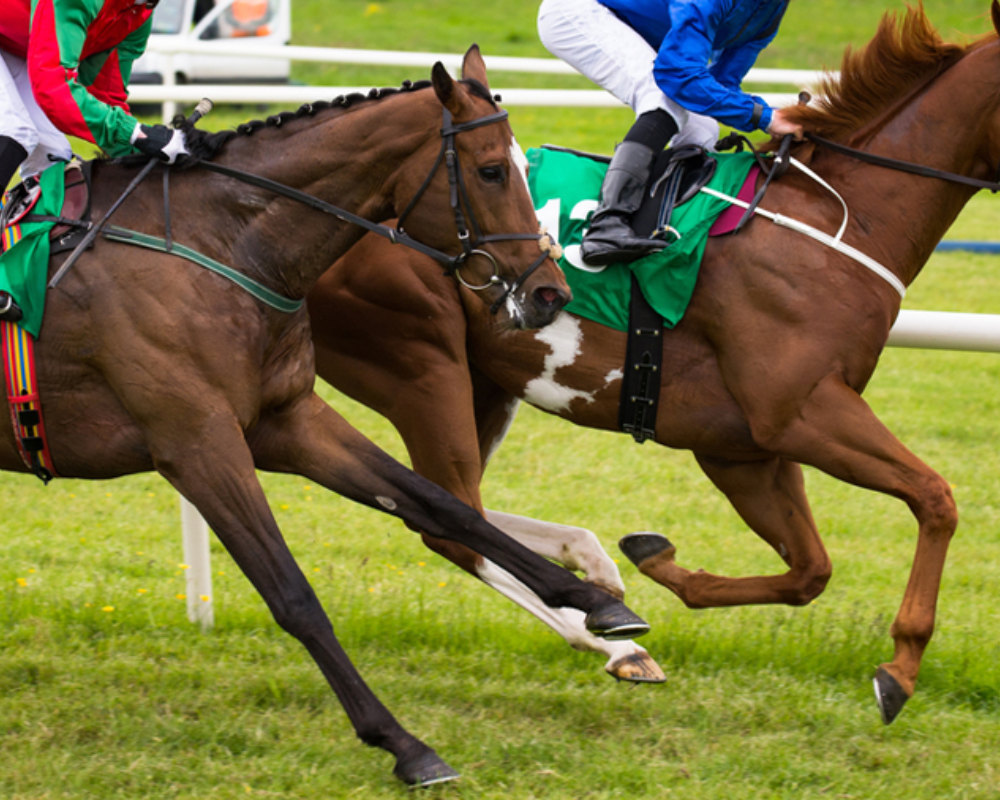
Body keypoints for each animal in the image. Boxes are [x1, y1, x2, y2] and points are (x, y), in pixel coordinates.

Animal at [0, 47, 654, 786]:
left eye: (520, 165)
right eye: (491, 169)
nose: (549, 292)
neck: (219, 245)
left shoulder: (286, 420)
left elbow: (439, 505)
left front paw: (601, 605)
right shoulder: (196, 442)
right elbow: (294, 595)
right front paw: (404, 744)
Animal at [307, 3, 1000, 724]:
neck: (839, 223)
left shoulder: (745, 448)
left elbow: (810, 570)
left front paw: (654, 559)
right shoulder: (800, 413)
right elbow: (935, 498)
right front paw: (900, 669)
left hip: (483, 383)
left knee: (448, 505)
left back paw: (599, 590)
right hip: (420, 364)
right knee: (452, 523)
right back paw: (611, 634)